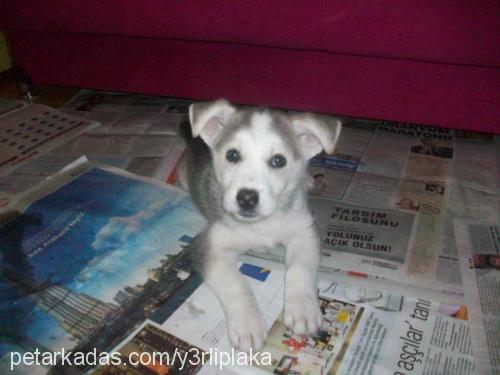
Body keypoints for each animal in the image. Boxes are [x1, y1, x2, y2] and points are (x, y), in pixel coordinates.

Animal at [181, 99, 344, 352]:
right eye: (232, 155)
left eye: (279, 160)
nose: (247, 198)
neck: (262, 224)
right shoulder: (209, 246)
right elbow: (237, 283)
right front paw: (248, 324)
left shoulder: (305, 231)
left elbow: (300, 268)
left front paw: (303, 309)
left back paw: (308, 180)